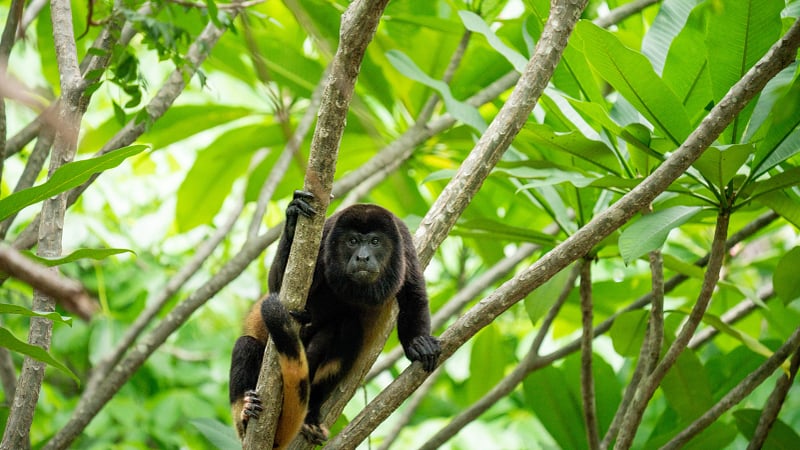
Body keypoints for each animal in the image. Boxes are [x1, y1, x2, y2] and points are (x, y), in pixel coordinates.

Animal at [229, 191, 441, 447]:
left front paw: (418, 343)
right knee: (245, 345)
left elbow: (414, 295)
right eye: (352, 241)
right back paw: (245, 413)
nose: (362, 257)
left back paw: (310, 413)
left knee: (348, 328)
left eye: (375, 242)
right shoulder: (324, 237)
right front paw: (293, 220)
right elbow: (278, 288)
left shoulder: (406, 246)